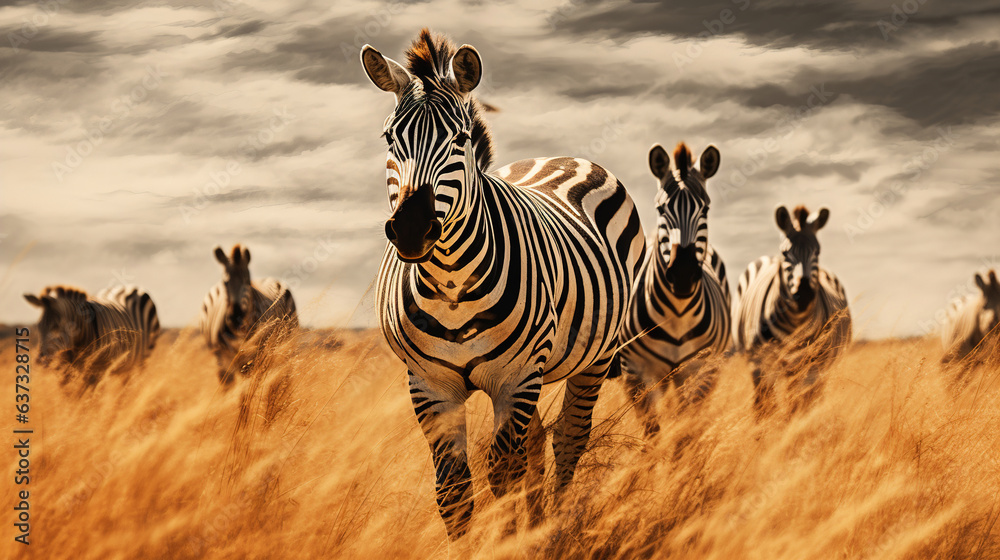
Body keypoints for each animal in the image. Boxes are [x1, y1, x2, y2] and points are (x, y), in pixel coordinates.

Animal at [22, 284, 160, 379]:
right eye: (39, 325)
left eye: (57, 326)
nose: (40, 361)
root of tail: (129, 287)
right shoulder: (66, 370)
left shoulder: (97, 370)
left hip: (143, 358)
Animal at [361, 29, 645, 538]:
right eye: (389, 137)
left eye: (460, 139)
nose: (411, 229)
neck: (451, 284)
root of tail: (559, 157)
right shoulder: (429, 384)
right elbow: (454, 492)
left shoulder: (516, 378)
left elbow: (503, 476)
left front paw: (509, 540)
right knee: (536, 443)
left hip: (594, 355)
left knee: (568, 439)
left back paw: (557, 527)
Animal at [616, 142, 731, 436]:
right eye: (661, 209)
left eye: (706, 209)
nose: (682, 274)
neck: (677, 314)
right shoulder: (633, 372)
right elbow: (653, 432)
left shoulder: (702, 371)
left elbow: (688, 431)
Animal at [733, 205, 852, 413]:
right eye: (785, 253)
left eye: (817, 251)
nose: (803, 293)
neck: (796, 322)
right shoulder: (760, 364)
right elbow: (766, 407)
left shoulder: (813, 365)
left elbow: (800, 406)